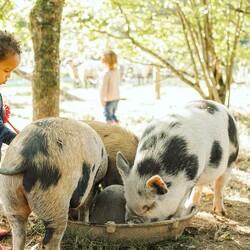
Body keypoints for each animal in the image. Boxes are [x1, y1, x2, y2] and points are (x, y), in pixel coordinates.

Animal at [0, 117, 107, 250]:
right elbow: (85, 206)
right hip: (54, 196)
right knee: (51, 237)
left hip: (9, 193)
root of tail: (23, 158)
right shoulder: (93, 183)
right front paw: (85, 221)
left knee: (18, 231)